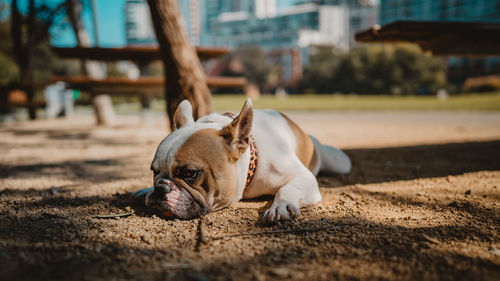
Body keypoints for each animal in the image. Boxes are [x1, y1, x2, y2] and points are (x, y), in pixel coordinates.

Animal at [133, 97, 352, 222]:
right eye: (154, 171)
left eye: (190, 173)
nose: (160, 187)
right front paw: (146, 189)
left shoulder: (303, 178)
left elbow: (287, 188)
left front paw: (281, 206)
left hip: (338, 162)